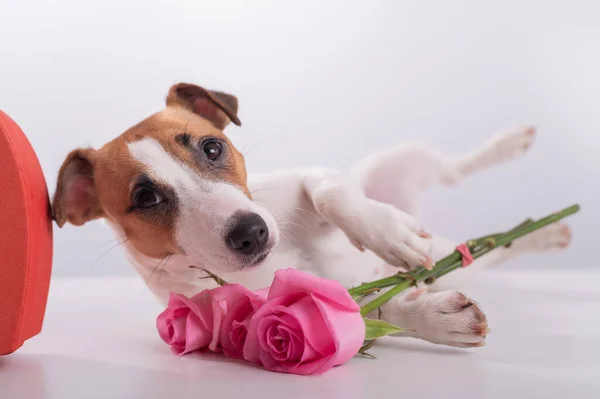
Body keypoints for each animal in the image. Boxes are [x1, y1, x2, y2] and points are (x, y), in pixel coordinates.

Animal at [52, 83, 572, 348]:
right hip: (459, 258)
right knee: (492, 247)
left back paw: (511, 147)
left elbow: (329, 192)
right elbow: (368, 306)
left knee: (456, 168)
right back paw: (542, 235)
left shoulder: (305, 179)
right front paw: (431, 316)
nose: (252, 231)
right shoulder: (254, 310)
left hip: (404, 160)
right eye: (145, 198)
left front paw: (386, 233)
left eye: (212, 147)